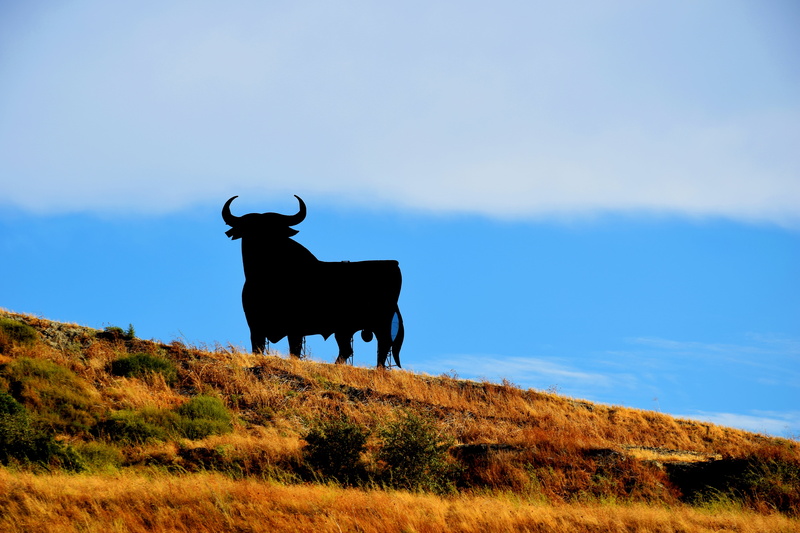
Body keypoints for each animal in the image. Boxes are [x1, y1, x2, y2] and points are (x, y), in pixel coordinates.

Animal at [222, 195, 404, 368]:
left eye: (275, 229)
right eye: (249, 229)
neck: (268, 277)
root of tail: (394, 264)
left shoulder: (295, 327)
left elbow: (294, 351)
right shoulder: (255, 326)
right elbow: (257, 348)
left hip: (381, 321)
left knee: (383, 344)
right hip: (345, 329)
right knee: (347, 349)